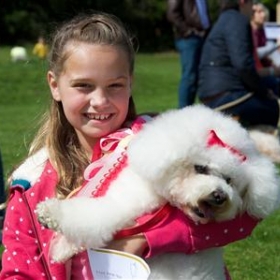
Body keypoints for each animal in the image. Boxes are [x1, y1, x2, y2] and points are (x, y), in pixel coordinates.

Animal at [36, 105, 280, 280]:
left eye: (230, 181)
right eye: (200, 168)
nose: (220, 196)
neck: (164, 199)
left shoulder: (122, 205)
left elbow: (90, 216)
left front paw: (51, 216)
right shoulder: (131, 195)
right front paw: (60, 248)